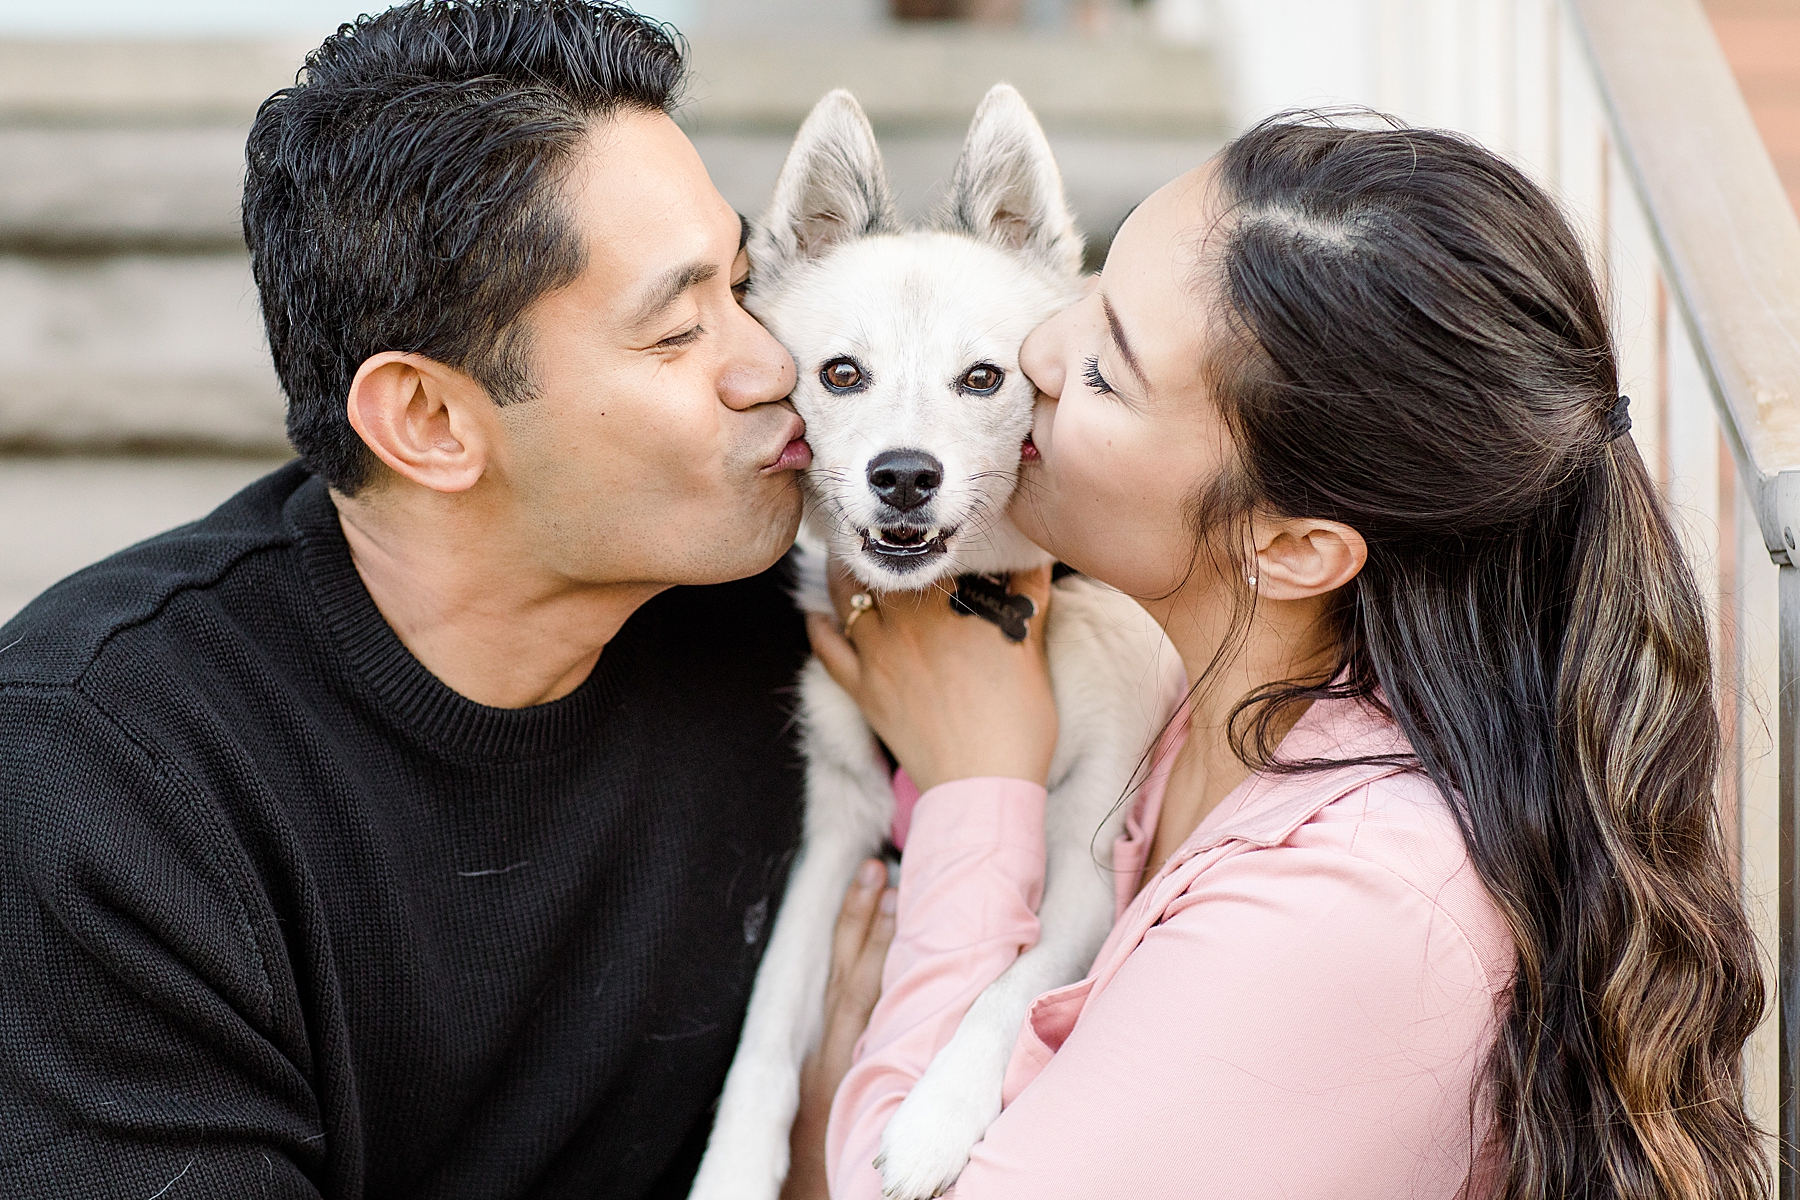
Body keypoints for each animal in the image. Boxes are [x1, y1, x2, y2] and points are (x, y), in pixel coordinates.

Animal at [687, 86, 1180, 1200]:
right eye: (841, 374)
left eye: (984, 379)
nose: (904, 476)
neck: (957, 601)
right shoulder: (832, 842)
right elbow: (765, 1030)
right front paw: (732, 1167)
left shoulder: (1088, 875)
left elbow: (1010, 985)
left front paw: (934, 1118)